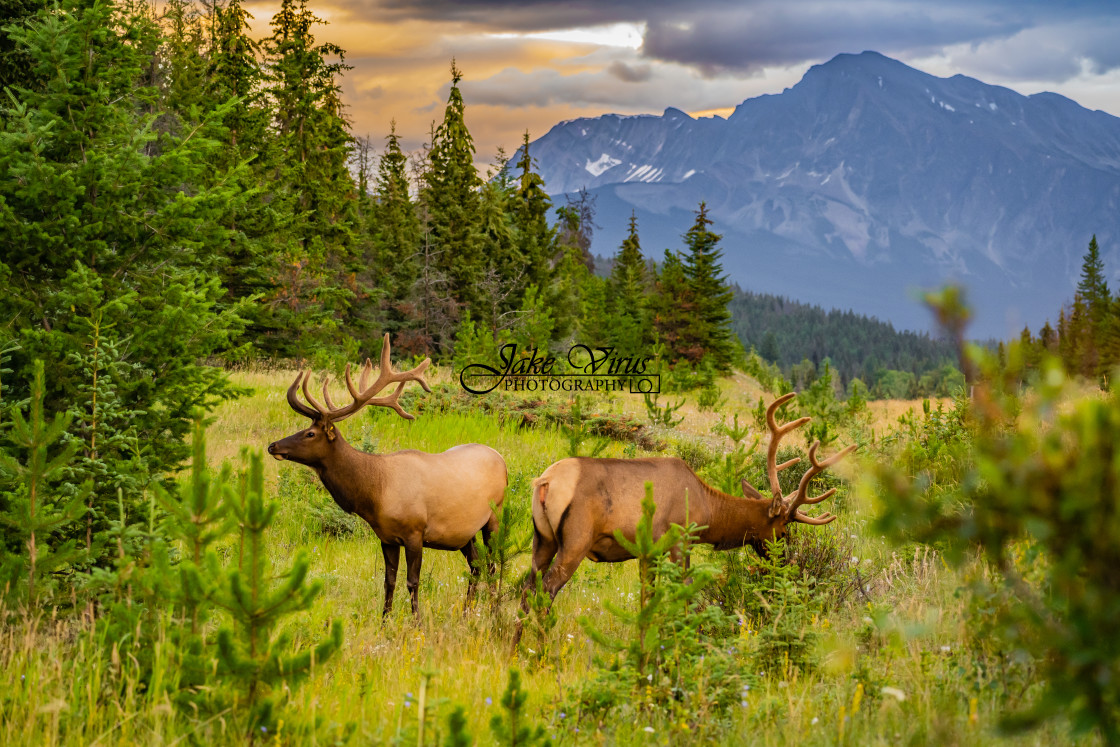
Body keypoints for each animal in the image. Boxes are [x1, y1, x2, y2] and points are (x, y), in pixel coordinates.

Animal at [266, 335, 504, 618]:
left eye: (310, 433)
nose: (273, 446)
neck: (374, 494)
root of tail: (501, 458)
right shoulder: (386, 537)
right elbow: (388, 581)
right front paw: (384, 620)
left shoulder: (415, 533)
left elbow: (413, 581)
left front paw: (416, 621)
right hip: (464, 533)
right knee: (476, 565)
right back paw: (467, 612)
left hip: (493, 517)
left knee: (492, 564)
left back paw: (493, 610)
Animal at [524, 394, 855, 604]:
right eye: (784, 531)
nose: (788, 565)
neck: (707, 511)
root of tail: (545, 481)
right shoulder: (679, 539)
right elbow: (683, 594)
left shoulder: (648, 553)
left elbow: (648, 597)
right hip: (575, 539)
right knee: (546, 591)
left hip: (542, 539)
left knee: (527, 589)